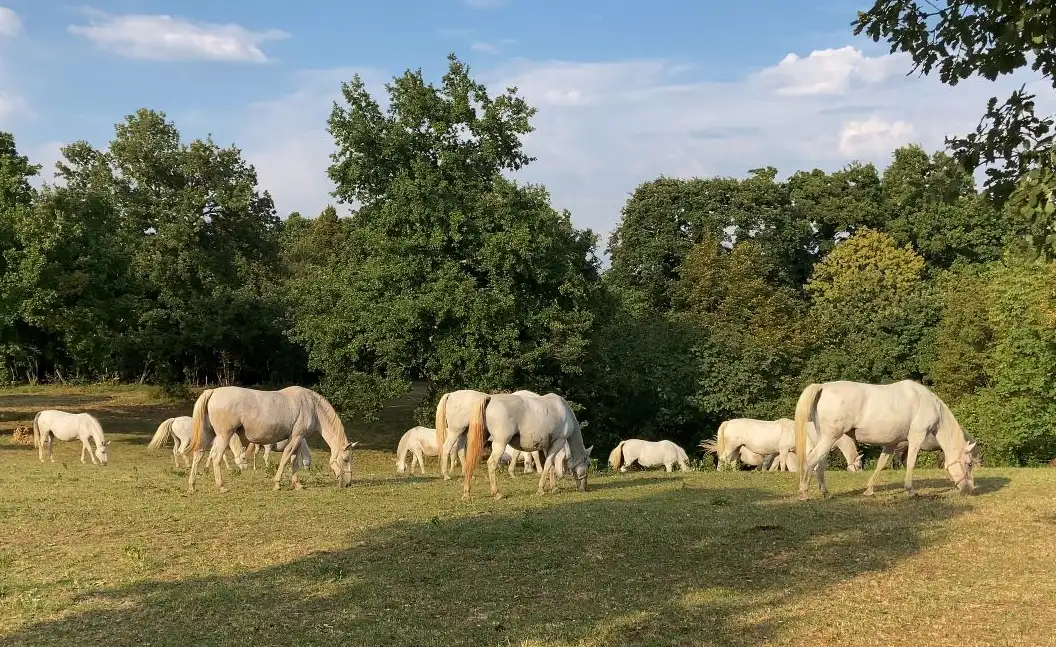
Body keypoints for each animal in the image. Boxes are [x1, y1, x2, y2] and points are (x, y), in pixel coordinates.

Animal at [186, 385, 357, 493]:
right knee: (216, 457)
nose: (348, 483)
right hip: (224, 435)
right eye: (346, 459)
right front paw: (277, 484)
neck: (312, 406)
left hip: (208, 434)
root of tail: (213, 391)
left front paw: (297, 484)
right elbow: (286, 457)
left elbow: (294, 461)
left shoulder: (297, 439)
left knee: (198, 456)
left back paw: (192, 486)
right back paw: (221, 486)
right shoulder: (296, 437)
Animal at [463, 391, 593, 499]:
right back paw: (497, 493)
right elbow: (548, 464)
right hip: (500, 443)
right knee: (491, 463)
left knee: (471, 462)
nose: (584, 488)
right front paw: (541, 490)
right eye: (588, 464)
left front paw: (554, 488)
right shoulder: (559, 441)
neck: (565, 412)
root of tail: (490, 398)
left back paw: (467, 493)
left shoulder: (548, 444)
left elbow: (550, 465)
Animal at [794, 379, 980, 500]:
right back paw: (804, 493)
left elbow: (880, 464)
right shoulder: (916, 437)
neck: (928, 403)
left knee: (820, 464)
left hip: (827, 439)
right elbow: (910, 463)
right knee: (811, 461)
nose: (970, 490)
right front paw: (911, 491)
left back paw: (825, 492)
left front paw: (869, 490)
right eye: (969, 464)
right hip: (829, 438)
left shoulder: (891, 444)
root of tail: (823, 387)